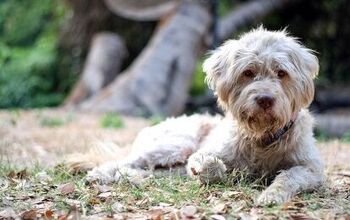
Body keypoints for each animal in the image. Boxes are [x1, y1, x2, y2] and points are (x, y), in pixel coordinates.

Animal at [85, 27, 326, 206]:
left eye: (281, 73)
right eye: (248, 72)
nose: (265, 99)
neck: (262, 138)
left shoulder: (312, 169)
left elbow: (289, 176)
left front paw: (271, 195)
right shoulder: (205, 153)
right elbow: (214, 166)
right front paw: (210, 170)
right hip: (175, 144)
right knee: (124, 162)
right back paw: (101, 175)